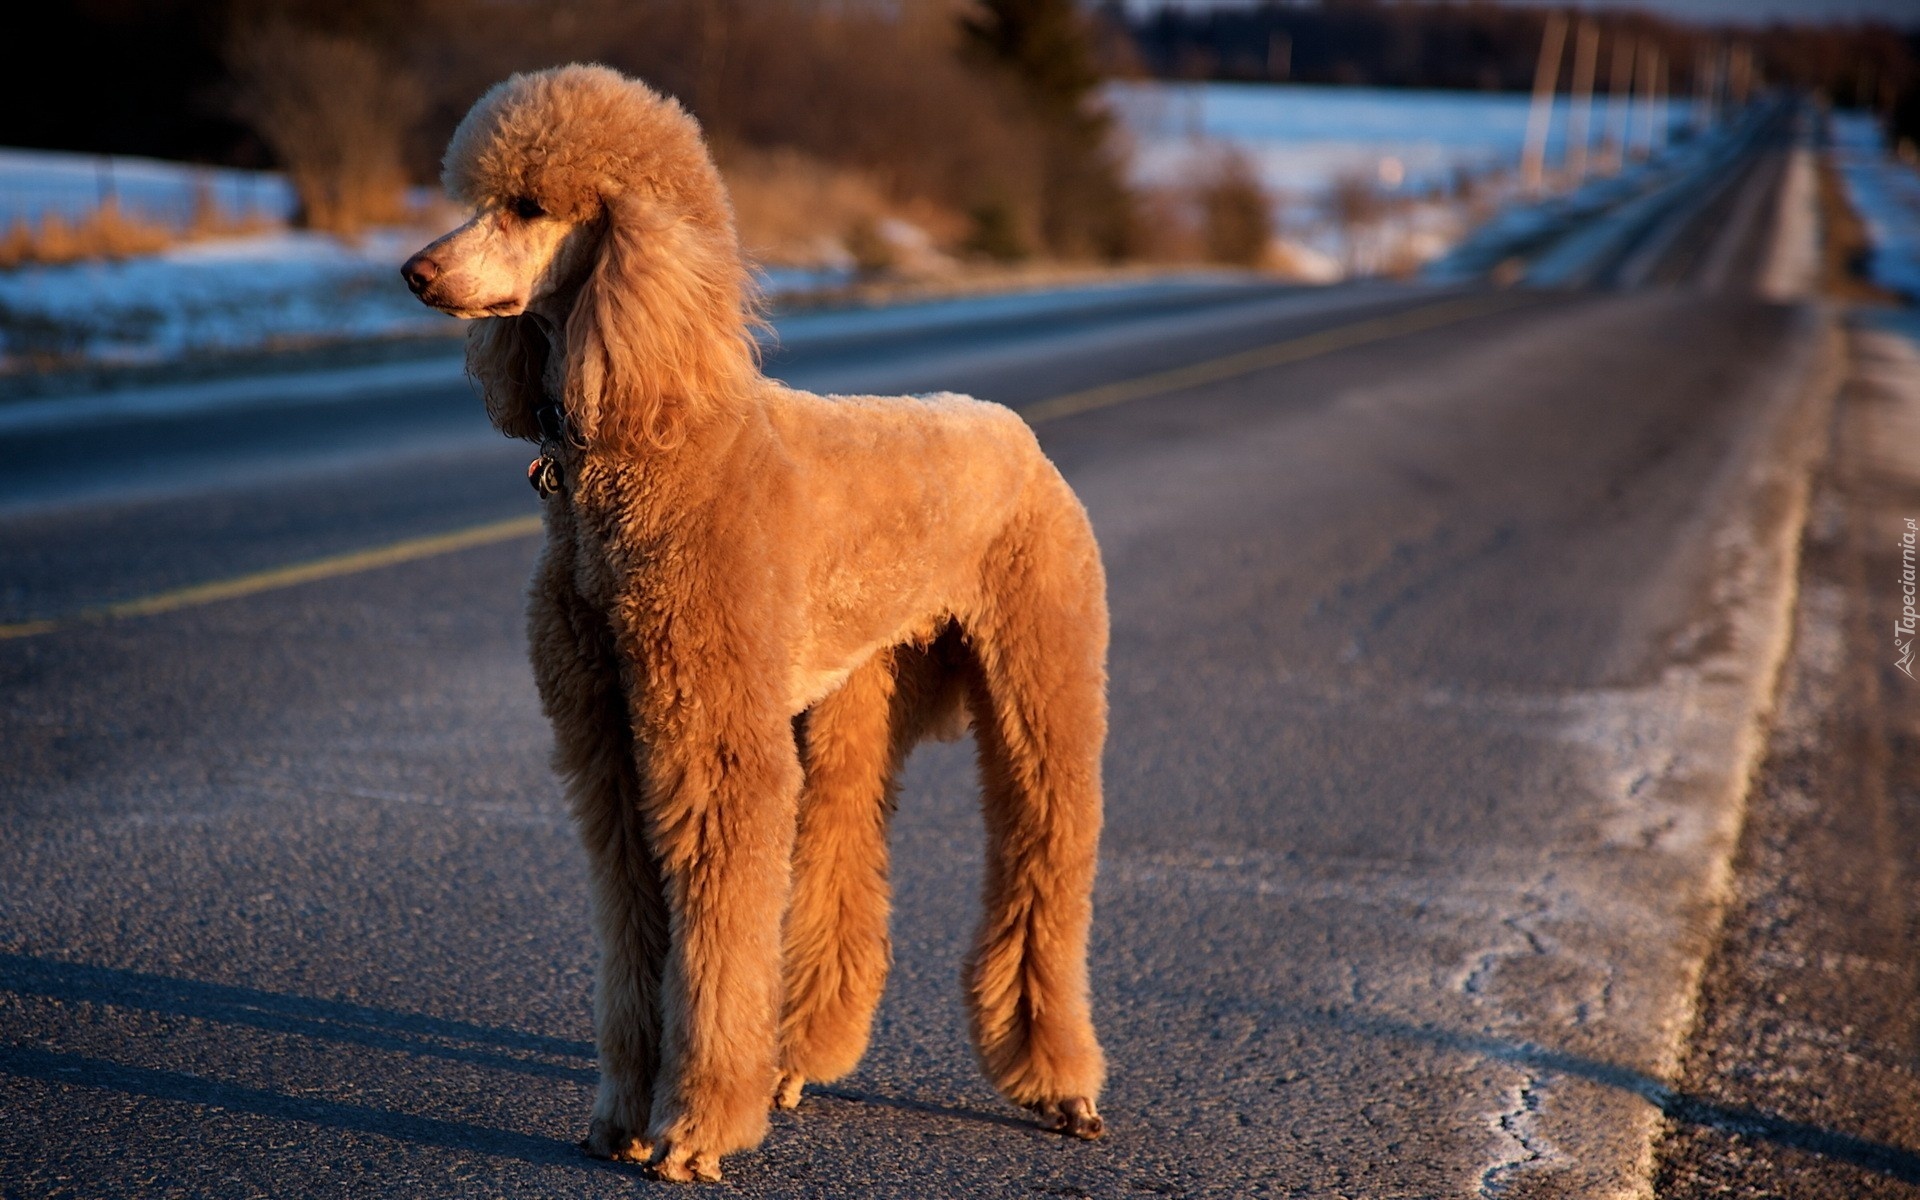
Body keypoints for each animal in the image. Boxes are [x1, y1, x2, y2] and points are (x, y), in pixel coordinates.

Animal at [397, 65, 1105, 1182]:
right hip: (859, 695)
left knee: (1046, 854)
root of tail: (1017, 431)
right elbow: (636, 918)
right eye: (476, 196)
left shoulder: (714, 740)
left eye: (531, 207)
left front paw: (692, 1132)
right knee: (843, 857)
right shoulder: (607, 739)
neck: (662, 440)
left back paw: (1060, 1084)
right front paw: (623, 1118)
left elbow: (717, 925)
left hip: (1045, 674)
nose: (416, 272)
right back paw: (799, 1059)